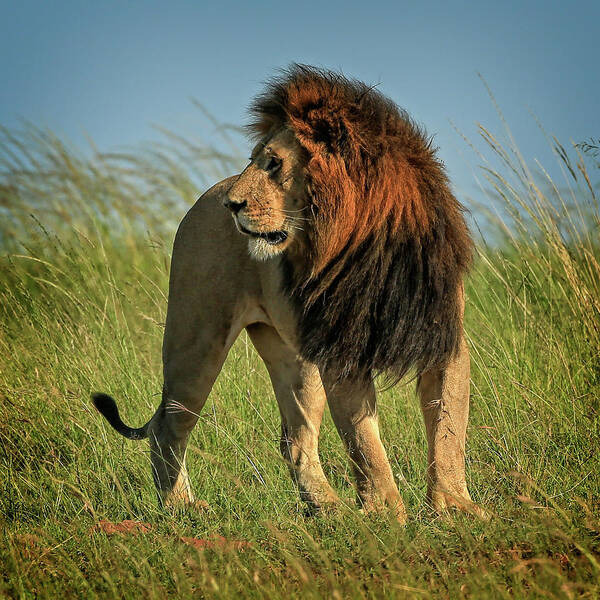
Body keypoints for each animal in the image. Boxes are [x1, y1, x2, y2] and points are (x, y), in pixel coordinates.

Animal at [92, 64, 478, 520]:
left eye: (273, 163)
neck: (372, 245)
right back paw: (181, 507)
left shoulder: (444, 340)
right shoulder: (342, 354)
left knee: (294, 439)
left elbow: (449, 431)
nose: (233, 205)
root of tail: (207, 195)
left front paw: (455, 509)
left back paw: (329, 509)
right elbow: (365, 444)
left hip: (295, 358)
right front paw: (386, 515)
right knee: (169, 425)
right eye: (254, 160)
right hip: (197, 338)